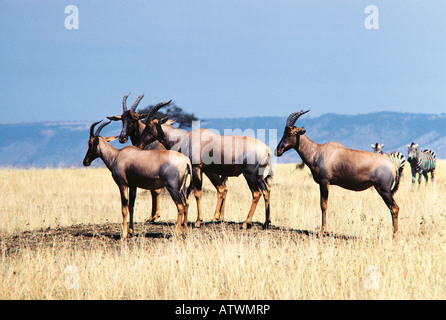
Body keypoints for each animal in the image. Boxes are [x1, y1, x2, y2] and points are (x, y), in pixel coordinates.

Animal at [106, 92, 172, 222]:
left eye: (134, 118)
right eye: (122, 118)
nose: (122, 137)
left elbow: (155, 190)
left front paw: (154, 216)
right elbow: (152, 190)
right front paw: (152, 216)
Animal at [139, 109, 274, 229]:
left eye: (149, 126)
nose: (139, 144)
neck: (186, 138)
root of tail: (266, 149)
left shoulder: (196, 168)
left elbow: (197, 192)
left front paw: (198, 221)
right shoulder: (200, 170)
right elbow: (188, 192)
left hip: (249, 175)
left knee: (256, 193)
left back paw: (246, 223)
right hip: (259, 176)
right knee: (266, 191)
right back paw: (266, 223)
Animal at [276, 110, 400, 238]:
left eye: (290, 133)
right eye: (284, 132)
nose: (278, 151)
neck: (318, 151)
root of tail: (393, 165)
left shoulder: (324, 182)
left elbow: (323, 205)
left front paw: (322, 231)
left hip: (384, 190)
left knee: (395, 208)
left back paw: (394, 236)